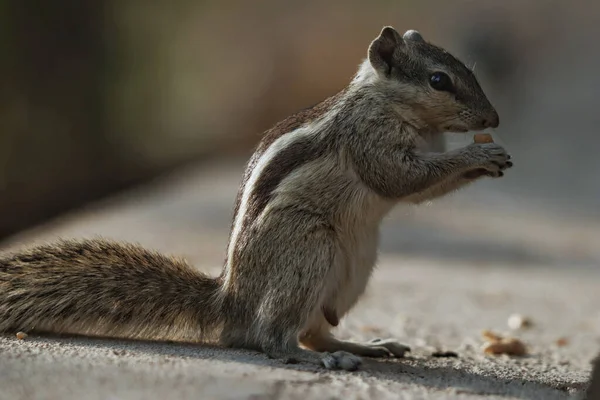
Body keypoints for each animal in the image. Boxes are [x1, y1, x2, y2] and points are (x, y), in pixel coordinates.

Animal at [0, 26, 510, 372]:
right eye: (439, 80)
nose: (493, 119)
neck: (393, 106)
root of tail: (232, 304)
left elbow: (424, 187)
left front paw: (490, 160)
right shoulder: (368, 138)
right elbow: (398, 179)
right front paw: (477, 153)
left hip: (356, 266)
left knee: (315, 333)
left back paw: (362, 347)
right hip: (308, 248)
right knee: (275, 339)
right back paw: (316, 359)